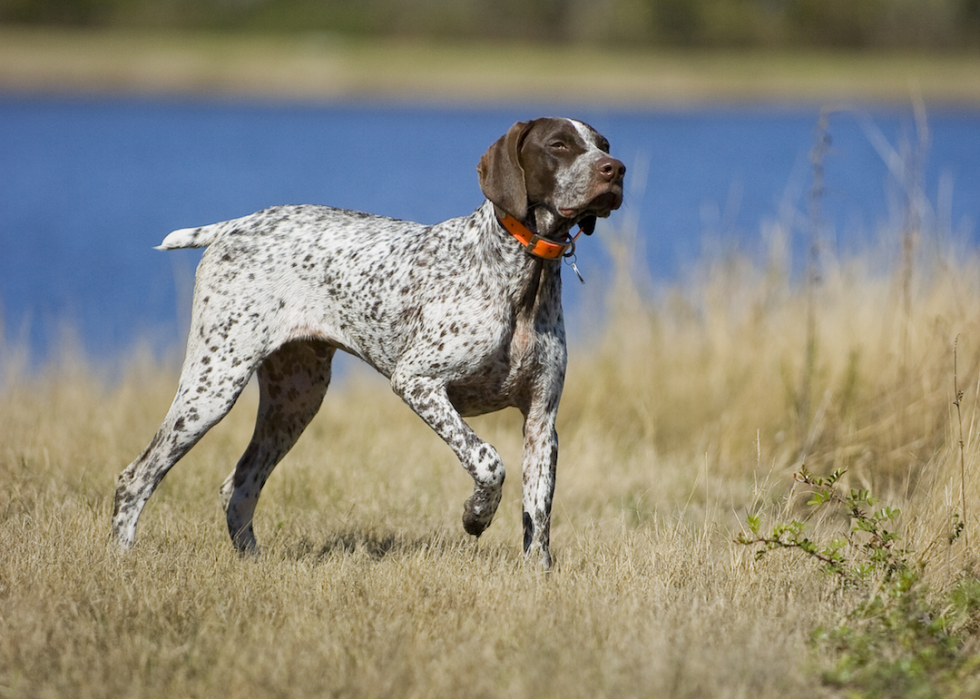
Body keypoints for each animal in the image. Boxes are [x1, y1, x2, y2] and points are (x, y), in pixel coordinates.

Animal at [111, 119, 624, 568]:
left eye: (602, 143)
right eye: (558, 144)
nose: (615, 170)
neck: (523, 274)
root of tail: (234, 225)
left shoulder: (541, 421)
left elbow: (538, 517)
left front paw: (537, 577)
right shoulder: (417, 381)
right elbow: (487, 461)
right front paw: (476, 516)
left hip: (295, 401)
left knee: (238, 487)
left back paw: (252, 563)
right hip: (213, 386)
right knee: (135, 477)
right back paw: (123, 559)